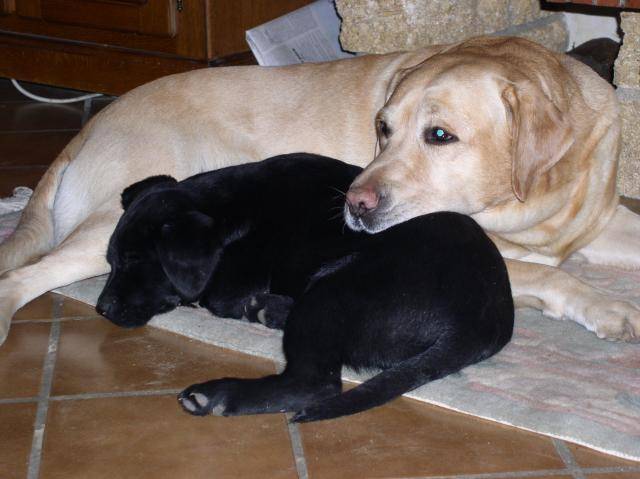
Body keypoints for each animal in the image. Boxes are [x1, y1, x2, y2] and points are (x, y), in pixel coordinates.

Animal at [96, 155, 516, 424]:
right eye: (110, 260)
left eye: (135, 261)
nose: (101, 308)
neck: (231, 211)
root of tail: (484, 322)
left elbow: (214, 298)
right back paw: (267, 310)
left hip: (333, 291)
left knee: (314, 384)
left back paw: (217, 394)